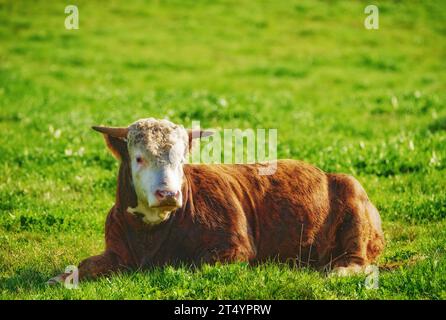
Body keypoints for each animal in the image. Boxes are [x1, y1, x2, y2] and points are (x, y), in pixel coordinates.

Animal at [48, 117, 384, 282]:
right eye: (139, 158)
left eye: (182, 159)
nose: (168, 194)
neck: (151, 235)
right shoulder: (116, 250)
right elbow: (82, 265)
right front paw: (60, 279)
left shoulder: (234, 248)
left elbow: (194, 265)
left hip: (354, 200)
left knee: (358, 260)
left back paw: (336, 272)